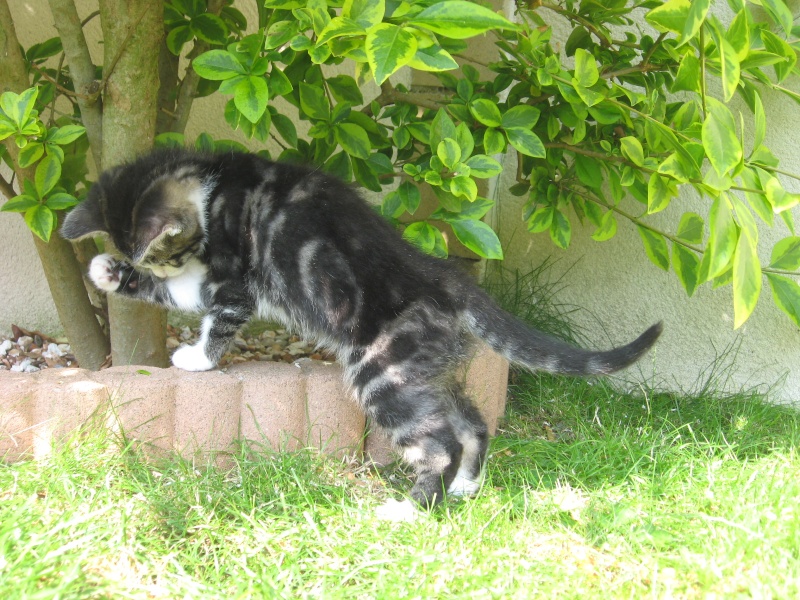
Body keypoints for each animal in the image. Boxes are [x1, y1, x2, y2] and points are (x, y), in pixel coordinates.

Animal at [62, 149, 664, 510]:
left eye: (171, 251)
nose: (159, 265)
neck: (214, 188)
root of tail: (449, 280)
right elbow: (181, 294)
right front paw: (109, 272)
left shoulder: (233, 279)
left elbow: (217, 314)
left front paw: (198, 357)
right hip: (427, 370)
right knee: (471, 423)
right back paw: (465, 486)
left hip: (385, 370)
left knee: (439, 443)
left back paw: (411, 510)